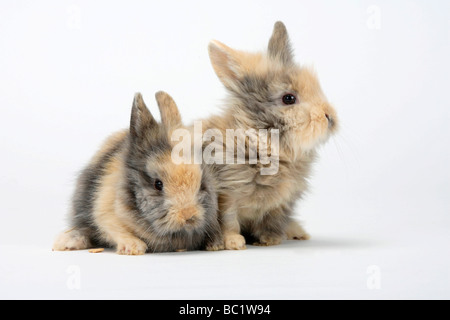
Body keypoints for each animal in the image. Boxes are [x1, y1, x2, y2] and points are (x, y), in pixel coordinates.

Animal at [53, 90, 223, 255]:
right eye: (158, 184)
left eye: (202, 184)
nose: (188, 215)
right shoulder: (104, 211)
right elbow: (115, 229)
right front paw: (133, 247)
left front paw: (216, 244)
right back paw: (65, 243)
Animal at [200, 21, 338, 250]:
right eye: (288, 98)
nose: (330, 117)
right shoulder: (227, 194)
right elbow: (229, 220)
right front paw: (234, 243)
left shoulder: (281, 203)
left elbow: (272, 221)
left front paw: (270, 240)